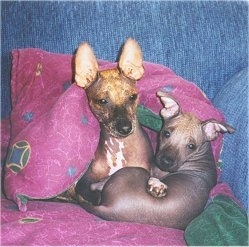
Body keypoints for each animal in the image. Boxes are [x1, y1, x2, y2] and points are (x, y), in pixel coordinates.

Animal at [79, 92, 234, 230]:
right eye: (166, 133)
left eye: (191, 146)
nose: (166, 161)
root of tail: (112, 209)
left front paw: (156, 184)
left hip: (135, 171)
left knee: (94, 185)